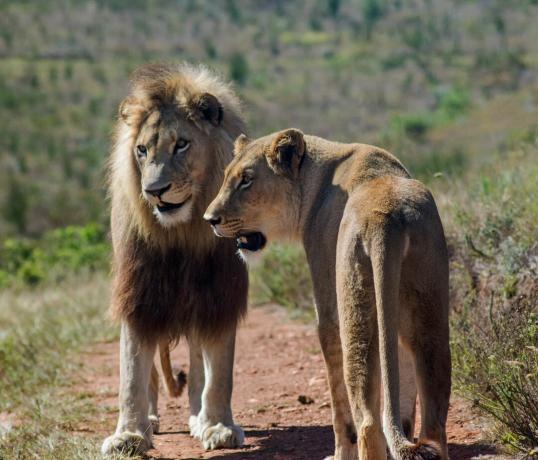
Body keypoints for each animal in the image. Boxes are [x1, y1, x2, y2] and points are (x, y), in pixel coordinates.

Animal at [100, 62, 247, 456]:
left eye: (181, 144)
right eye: (141, 150)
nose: (154, 191)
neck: (183, 230)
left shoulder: (219, 294)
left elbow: (220, 373)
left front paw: (218, 427)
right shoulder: (140, 293)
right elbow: (132, 372)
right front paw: (128, 435)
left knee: (197, 364)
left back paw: (198, 416)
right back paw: (150, 420)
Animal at [204, 129, 448, 460]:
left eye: (246, 180)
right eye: (228, 176)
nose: (209, 219)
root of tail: (387, 216)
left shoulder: (328, 313)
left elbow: (340, 407)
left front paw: (340, 453)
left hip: (354, 310)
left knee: (368, 422)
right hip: (429, 317)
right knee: (434, 423)